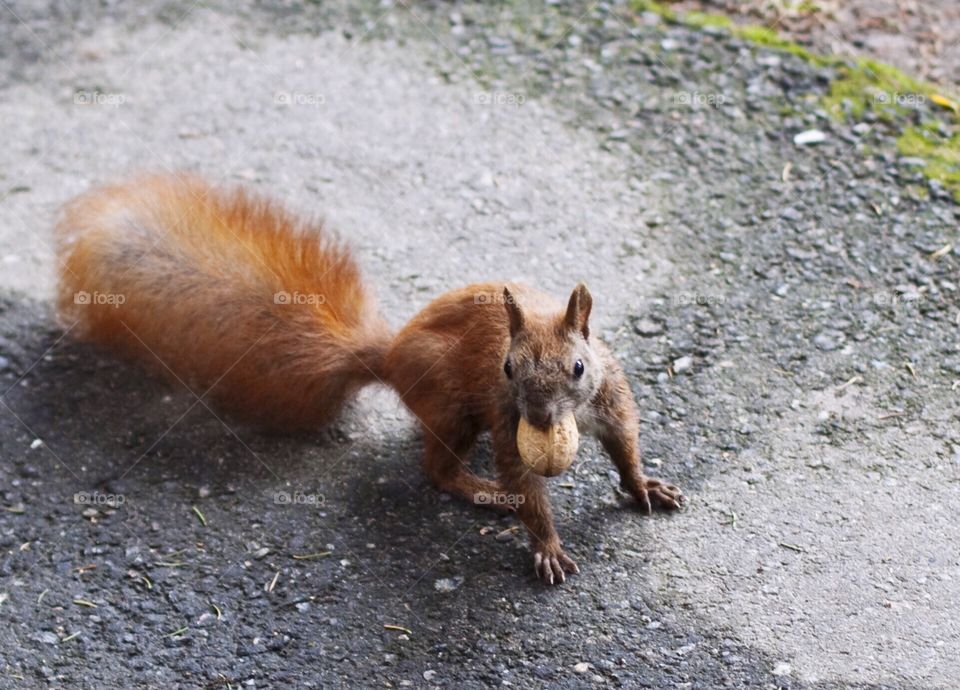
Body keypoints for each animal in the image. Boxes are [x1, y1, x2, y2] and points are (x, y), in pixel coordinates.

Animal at [55, 173, 684, 585]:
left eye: (578, 367)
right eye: (507, 368)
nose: (537, 417)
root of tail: (389, 356)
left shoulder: (612, 398)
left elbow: (625, 444)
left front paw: (644, 486)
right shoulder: (509, 427)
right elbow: (526, 487)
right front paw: (547, 544)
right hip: (451, 404)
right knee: (437, 471)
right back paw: (482, 490)